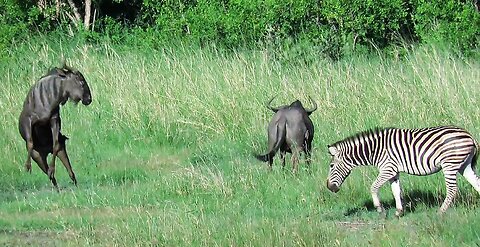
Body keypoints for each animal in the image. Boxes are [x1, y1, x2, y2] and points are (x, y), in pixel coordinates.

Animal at [324, 126, 478, 215]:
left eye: (331, 166)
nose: (329, 187)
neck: (375, 150)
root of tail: (469, 135)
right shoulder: (394, 172)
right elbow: (396, 191)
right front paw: (399, 211)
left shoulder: (388, 169)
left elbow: (373, 187)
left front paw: (379, 208)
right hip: (464, 165)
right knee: (477, 183)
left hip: (449, 165)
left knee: (452, 189)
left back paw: (440, 212)